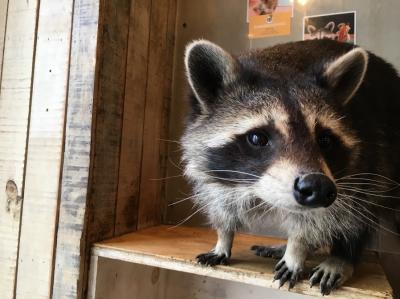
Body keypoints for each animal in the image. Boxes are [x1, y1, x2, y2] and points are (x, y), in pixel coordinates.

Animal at [181, 39, 400, 296]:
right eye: (257, 138)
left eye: (325, 140)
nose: (318, 187)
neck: (282, 65)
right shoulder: (216, 170)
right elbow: (221, 204)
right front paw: (223, 238)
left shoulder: (356, 167)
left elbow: (320, 218)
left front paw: (297, 248)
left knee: (358, 213)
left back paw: (342, 257)